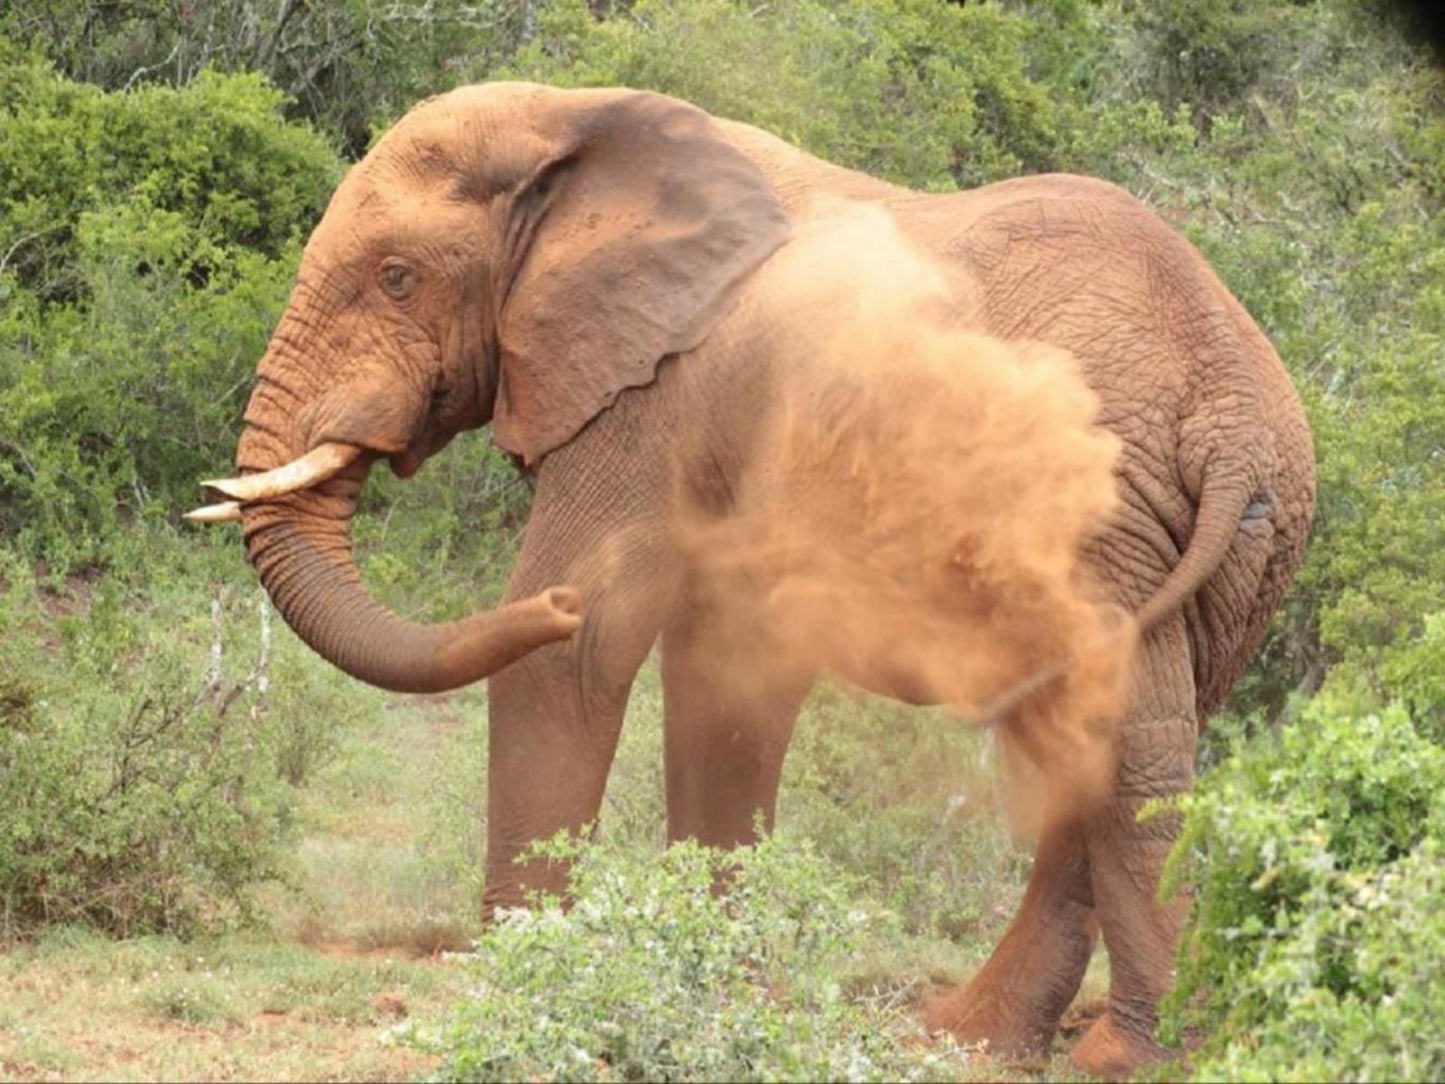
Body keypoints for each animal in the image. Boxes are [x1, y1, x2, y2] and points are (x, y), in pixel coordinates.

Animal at [192, 82, 1323, 1081]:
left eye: (394, 277)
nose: (539, 606)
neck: (573, 115)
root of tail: (1226, 413)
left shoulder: (648, 398)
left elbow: (589, 650)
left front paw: (531, 981)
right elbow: (720, 674)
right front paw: (720, 981)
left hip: (1096, 512)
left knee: (1117, 743)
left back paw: (1120, 1057)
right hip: (1228, 553)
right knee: (1117, 740)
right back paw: (976, 1039)